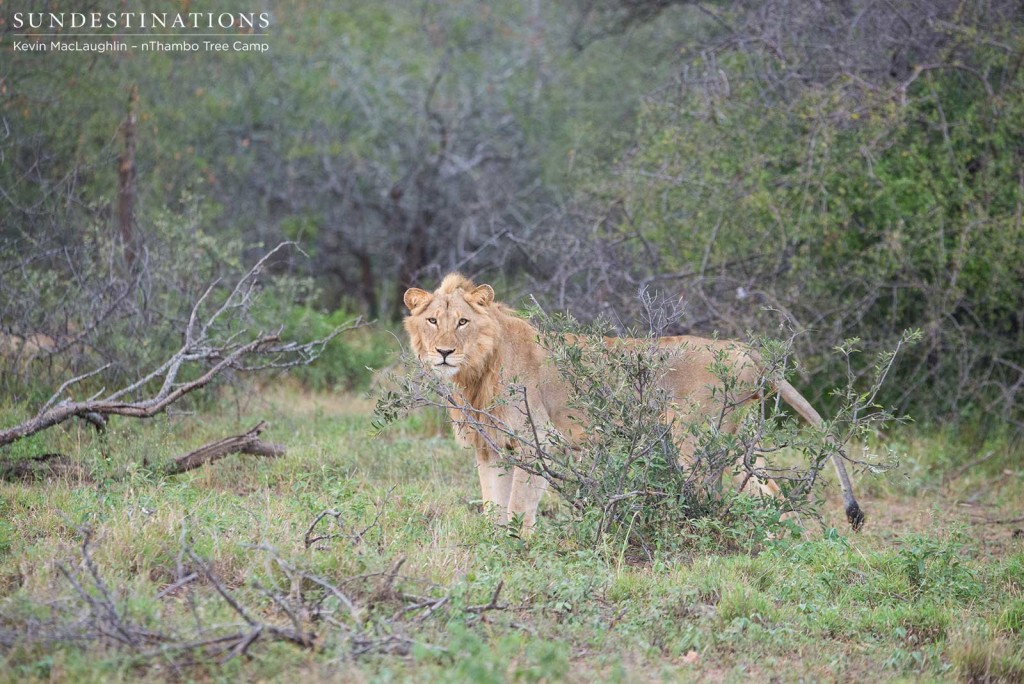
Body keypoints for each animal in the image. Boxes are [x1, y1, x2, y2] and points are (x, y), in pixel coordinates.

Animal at [403, 272, 860, 532]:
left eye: (463, 321)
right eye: (432, 320)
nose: (444, 352)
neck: (475, 374)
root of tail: (742, 349)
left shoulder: (540, 443)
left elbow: (517, 507)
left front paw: (516, 547)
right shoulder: (491, 448)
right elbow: (491, 505)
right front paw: (494, 546)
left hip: (697, 446)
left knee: (715, 498)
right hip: (739, 445)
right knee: (774, 495)